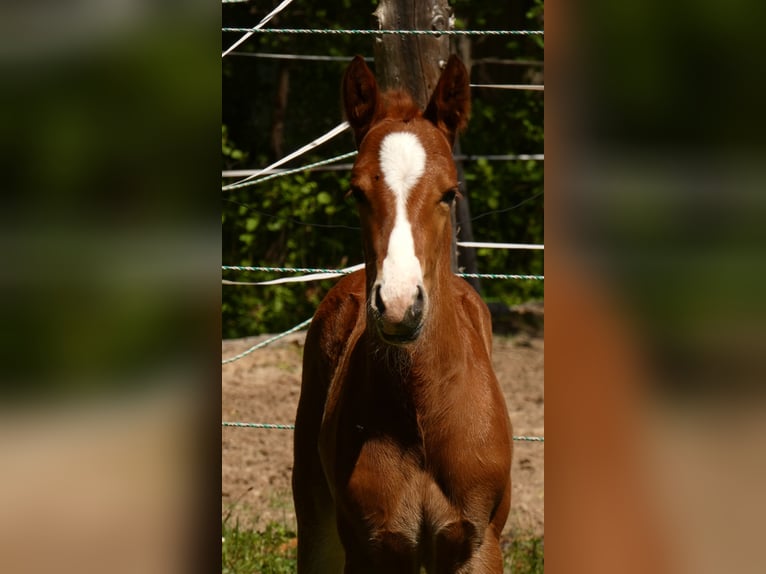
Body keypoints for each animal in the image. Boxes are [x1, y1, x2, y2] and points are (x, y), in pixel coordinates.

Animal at [292, 55, 513, 573]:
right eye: (355, 192)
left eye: (450, 193)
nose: (397, 307)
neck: (421, 416)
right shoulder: (373, 546)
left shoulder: (477, 543)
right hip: (316, 519)